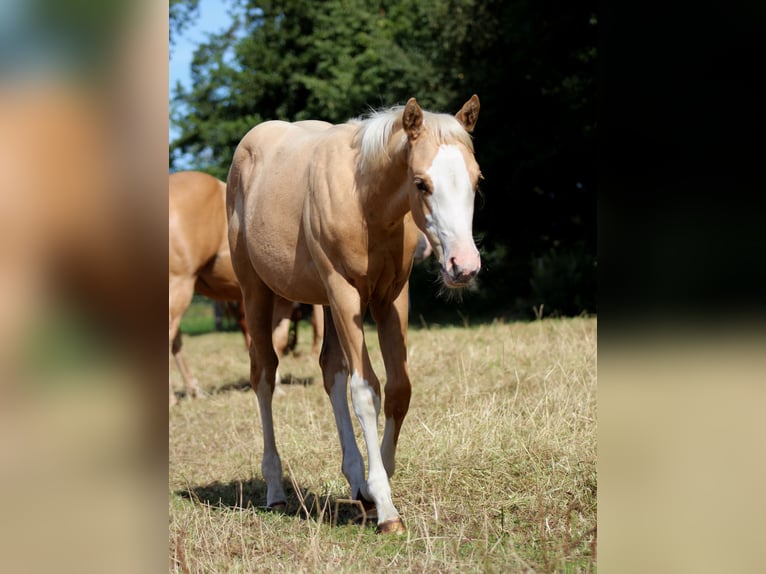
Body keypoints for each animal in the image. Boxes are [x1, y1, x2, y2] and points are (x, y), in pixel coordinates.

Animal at [226, 95, 482, 533]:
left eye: (477, 180)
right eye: (421, 183)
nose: (463, 266)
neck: (366, 202)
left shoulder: (390, 298)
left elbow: (398, 388)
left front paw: (378, 484)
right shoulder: (345, 292)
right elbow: (365, 391)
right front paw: (387, 508)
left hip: (327, 303)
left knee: (331, 369)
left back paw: (356, 483)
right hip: (257, 290)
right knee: (264, 373)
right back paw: (275, 489)